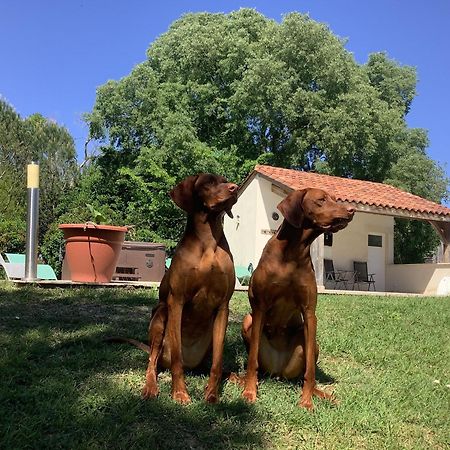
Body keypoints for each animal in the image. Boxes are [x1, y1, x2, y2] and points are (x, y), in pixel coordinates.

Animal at [108, 173, 237, 404]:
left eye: (225, 180)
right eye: (208, 182)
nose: (235, 188)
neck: (208, 241)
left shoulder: (223, 306)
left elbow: (218, 361)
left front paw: (212, 394)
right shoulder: (176, 301)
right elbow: (177, 358)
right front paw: (180, 392)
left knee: (211, 364)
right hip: (160, 316)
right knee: (152, 362)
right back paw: (151, 387)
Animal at [241, 188, 354, 410]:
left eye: (334, 199)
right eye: (321, 199)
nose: (352, 209)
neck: (292, 253)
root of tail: (278, 372)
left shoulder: (309, 313)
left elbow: (310, 369)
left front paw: (307, 400)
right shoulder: (259, 308)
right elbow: (251, 361)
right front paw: (250, 391)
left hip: (311, 341)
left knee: (305, 371)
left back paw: (324, 395)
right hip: (247, 321)